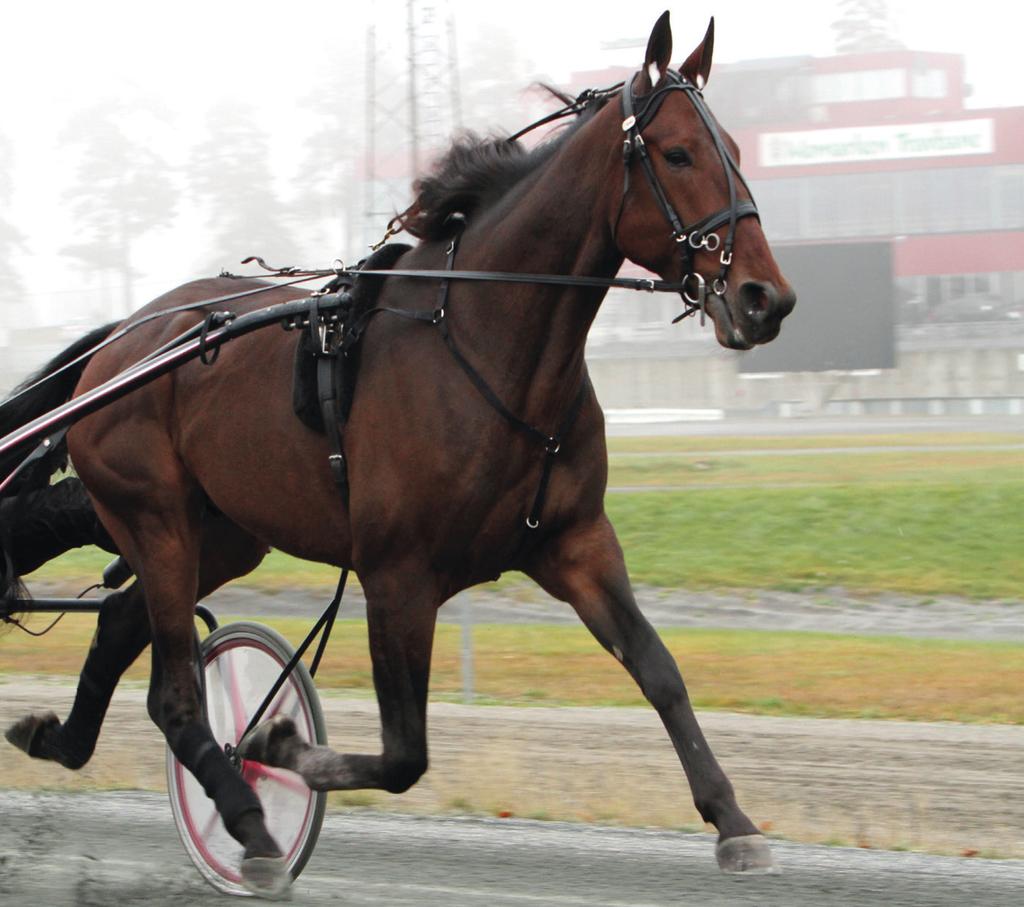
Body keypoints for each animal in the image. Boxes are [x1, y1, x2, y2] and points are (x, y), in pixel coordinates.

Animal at [4, 10, 794, 896]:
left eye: (734, 145)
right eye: (679, 153)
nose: (765, 297)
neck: (485, 343)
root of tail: (125, 339)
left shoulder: (575, 542)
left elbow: (659, 670)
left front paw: (734, 820)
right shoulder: (397, 574)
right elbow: (405, 753)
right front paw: (278, 743)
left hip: (223, 533)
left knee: (119, 624)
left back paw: (63, 739)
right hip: (157, 518)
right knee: (175, 695)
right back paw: (250, 819)